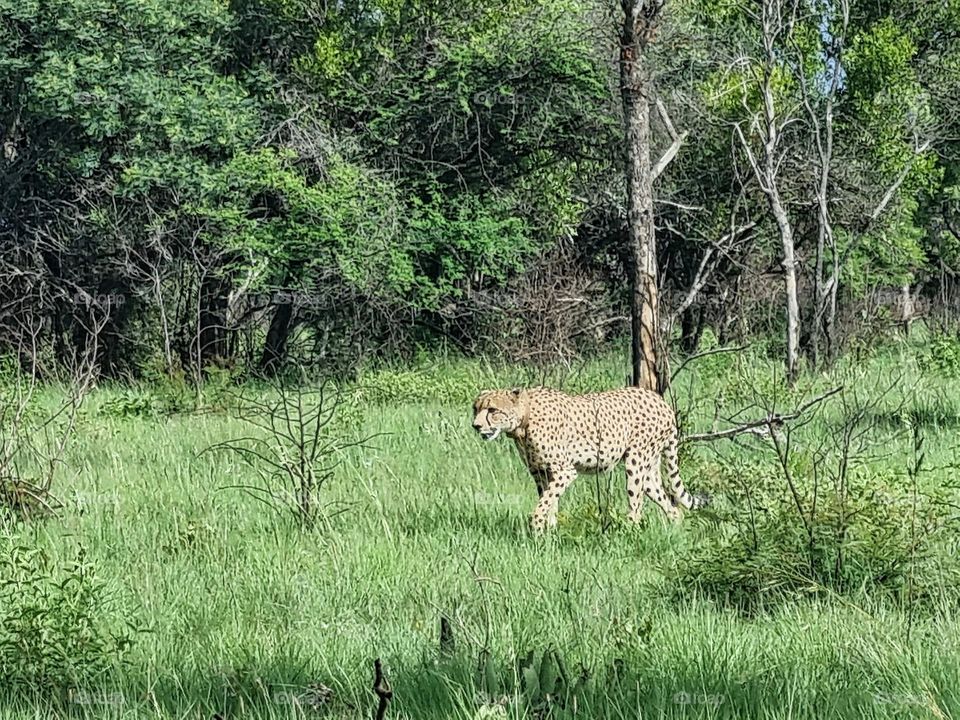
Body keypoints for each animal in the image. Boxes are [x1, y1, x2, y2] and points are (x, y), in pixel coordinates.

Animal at [468, 386, 708, 532]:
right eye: (475, 408)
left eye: (492, 410)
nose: (476, 425)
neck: (523, 421)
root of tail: (660, 400)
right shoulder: (541, 473)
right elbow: (550, 501)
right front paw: (549, 533)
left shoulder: (564, 471)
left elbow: (543, 503)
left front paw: (537, 527)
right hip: (649, 471)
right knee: (672, 507)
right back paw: (675, 533)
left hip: (636, 462)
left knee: (636, 505)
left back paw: (627, 534)